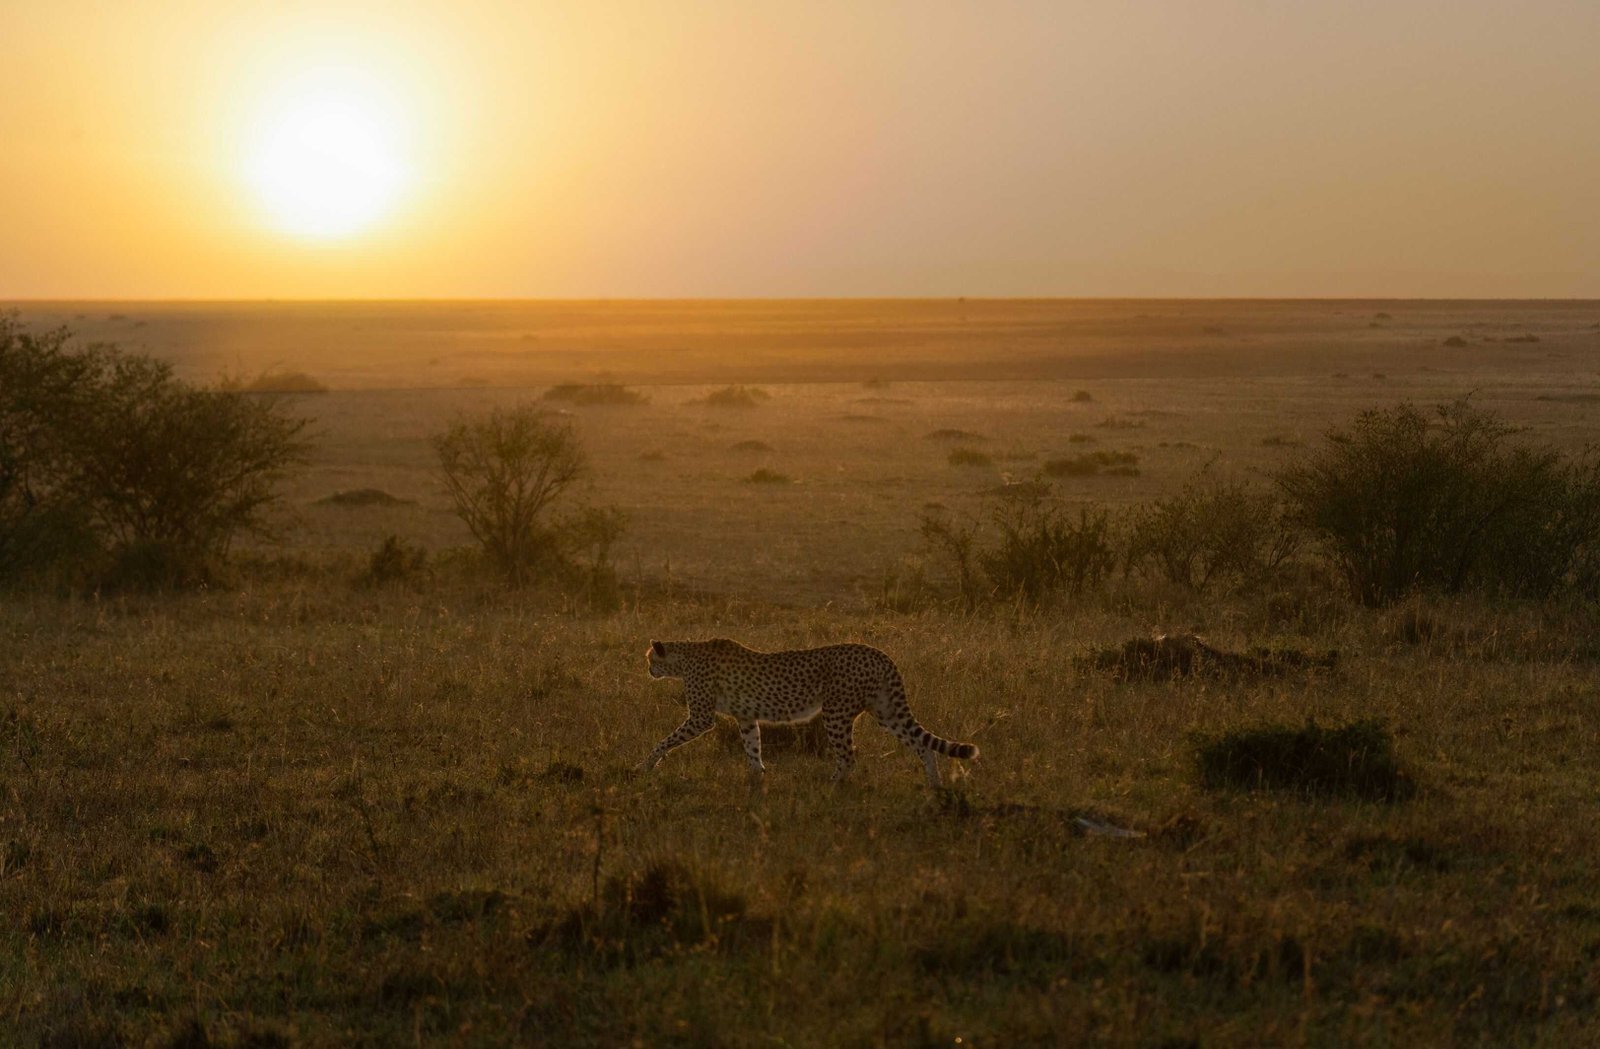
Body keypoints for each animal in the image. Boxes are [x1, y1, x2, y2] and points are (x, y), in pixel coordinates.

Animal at [642, 638, 978, 789]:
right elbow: (753, 748)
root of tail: (877, 652)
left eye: (650, 660)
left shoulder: (701, 718)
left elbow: (665, 741)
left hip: (836, 713)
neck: (685, 657)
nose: (648, 670)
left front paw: (646, 764)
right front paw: (756, 779)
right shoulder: (746, 718)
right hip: (886, 712)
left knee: (848, 756)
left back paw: (831, 785)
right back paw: (935, 786)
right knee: (923, 745)